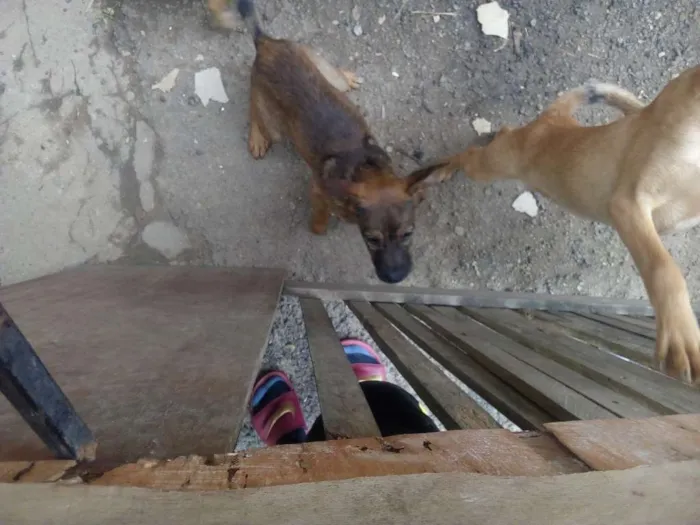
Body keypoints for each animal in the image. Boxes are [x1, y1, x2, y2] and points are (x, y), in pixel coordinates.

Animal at [235, 0, 442, 282]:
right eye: (371, 239)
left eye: (408, 233)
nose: (395, 278)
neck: (365, 169)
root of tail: (266, 43)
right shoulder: (317, 191)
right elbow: (319, 221)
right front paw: (318, 228)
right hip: (273, 122)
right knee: (254, 108)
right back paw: (257, 137)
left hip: (323, 70)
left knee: (335, 78)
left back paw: (347, 77)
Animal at [412, 67, 700, 382]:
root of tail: (553, 118)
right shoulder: (629, 202)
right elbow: (664, 269)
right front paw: (681, 337)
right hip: (488, 166)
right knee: (471, 155)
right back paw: (438, 172)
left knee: (504, 132)